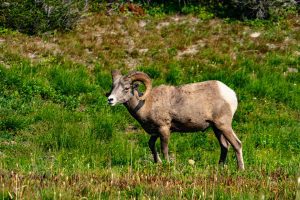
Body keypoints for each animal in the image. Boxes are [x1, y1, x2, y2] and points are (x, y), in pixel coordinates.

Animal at [107, 69, 244, 170]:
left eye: (126, 88)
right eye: (113, 87)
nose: (110, 100)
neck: (146, 104)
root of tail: (230, 93)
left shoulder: (164, 129)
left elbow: (164, 149)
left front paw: (167, 165)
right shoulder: (155, 133)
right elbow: (151, 145)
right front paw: (158, 163)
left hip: (223, 125)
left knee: (237, 144)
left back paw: (240, 169)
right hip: (216, 129)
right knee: (225, 146)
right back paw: (219, 167)